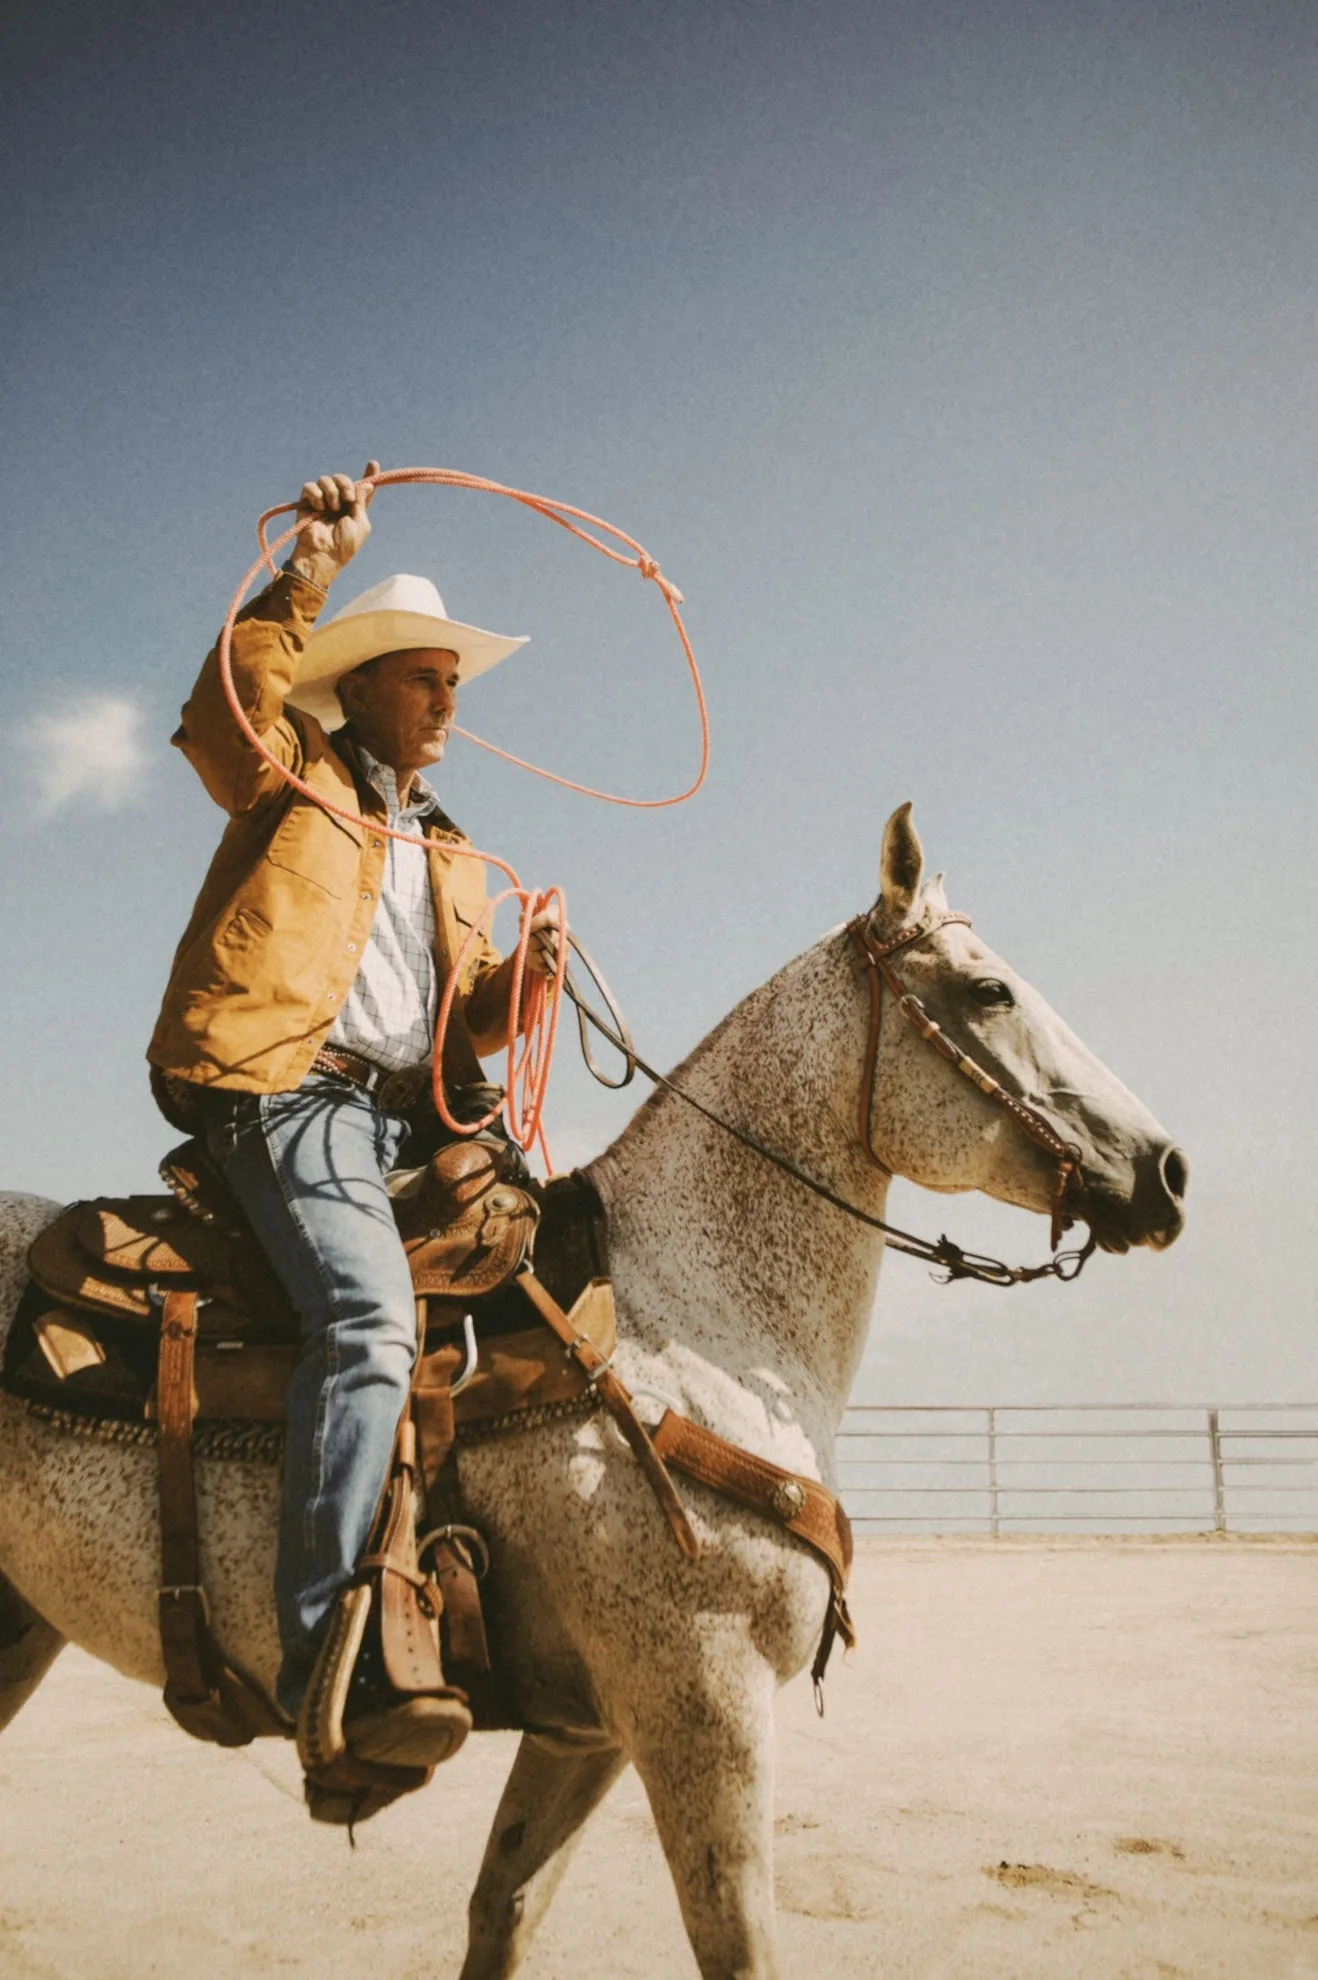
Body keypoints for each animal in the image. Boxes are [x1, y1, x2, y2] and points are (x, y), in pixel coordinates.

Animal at [0, 807, 1179, 1980]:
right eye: (989, 991)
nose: (1165, 1171)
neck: (683, 1319)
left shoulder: (589, 1731)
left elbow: (505, 1909)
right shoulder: (700, 1709)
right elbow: (736, 1945)